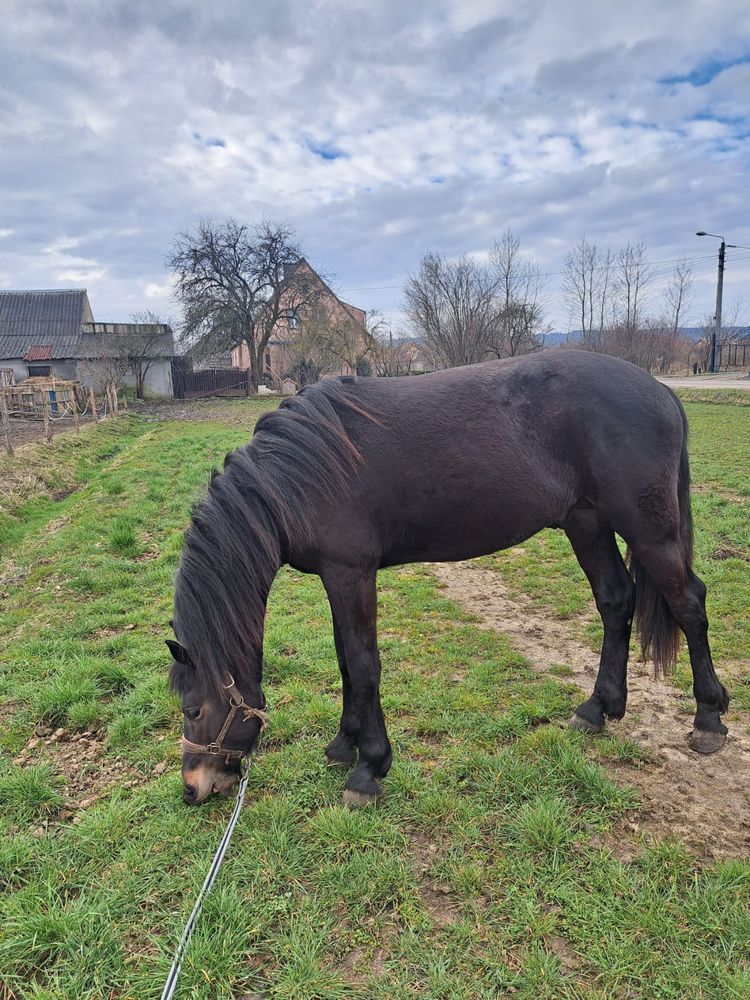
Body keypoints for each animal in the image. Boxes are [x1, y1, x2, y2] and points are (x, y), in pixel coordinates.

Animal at [167, 352, 732, 804]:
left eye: (194, 710)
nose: (193, 788)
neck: (297, 476)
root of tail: (660, 391)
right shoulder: (336, 575)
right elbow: (345, 661)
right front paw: (343, 746)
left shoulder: (352, 573)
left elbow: (364, 665)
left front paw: (369, 768)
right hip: (586, 523)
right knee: (616, 600)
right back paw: (598, 708)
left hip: (650, 533)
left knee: (690, 605)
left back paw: (708, 719)